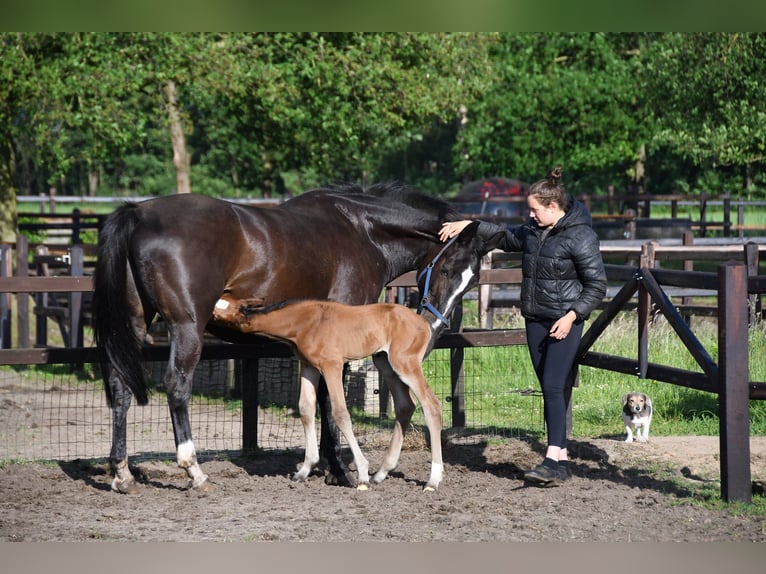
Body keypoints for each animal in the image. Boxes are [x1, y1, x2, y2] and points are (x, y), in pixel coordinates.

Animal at [93, 184, 488, 496]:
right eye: (448, 269)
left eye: (472, 282)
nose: (432, 327)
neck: (363, 229)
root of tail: (139, 213)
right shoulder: (337, 343)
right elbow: (331, 403)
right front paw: (339, 470)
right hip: (187, 327)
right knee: (177, 385)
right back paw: (194, 470)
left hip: (135, 323)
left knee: (120, 387)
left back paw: (122, 474)